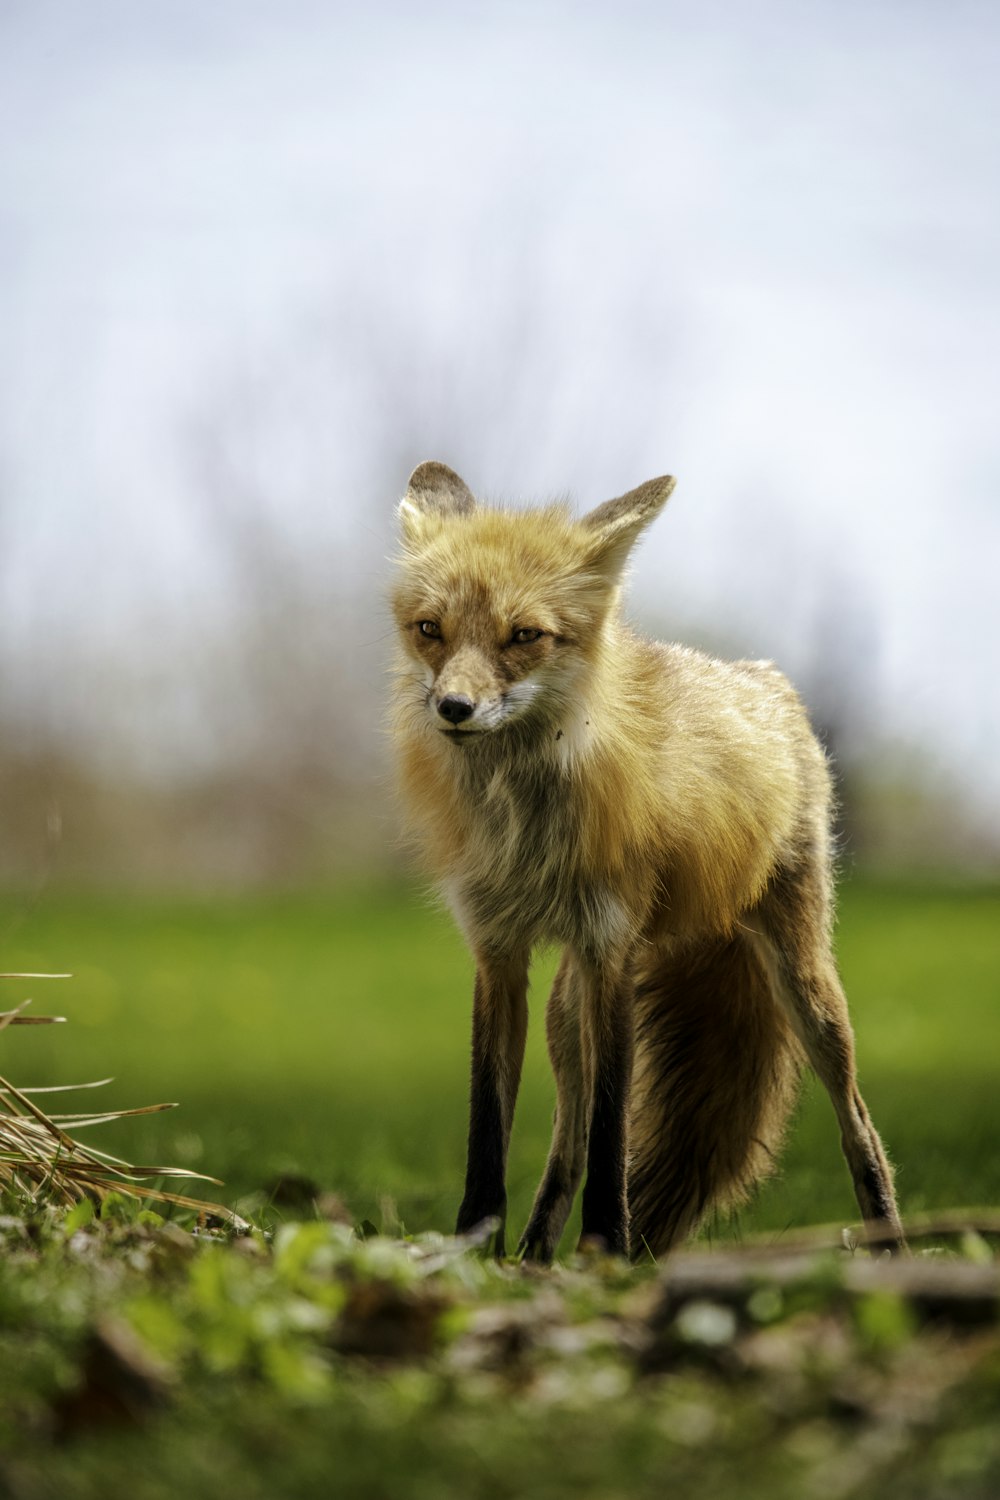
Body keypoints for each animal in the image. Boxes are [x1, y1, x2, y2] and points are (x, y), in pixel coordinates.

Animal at [389, 462, 905, 1260]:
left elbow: (612, 1133)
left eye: (524, 636)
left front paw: (607, 1248)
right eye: (429, 630)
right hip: (565, 1015)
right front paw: (477, 1250)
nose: (452, 708)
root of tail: (766, 678)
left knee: (862, 1129)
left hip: (806, 987)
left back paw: (894, 1247)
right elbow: (490, 1129)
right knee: (564, 1145)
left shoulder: (612, 954)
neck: (528, 828)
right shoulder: (498, 953)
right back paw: (535, 1257)